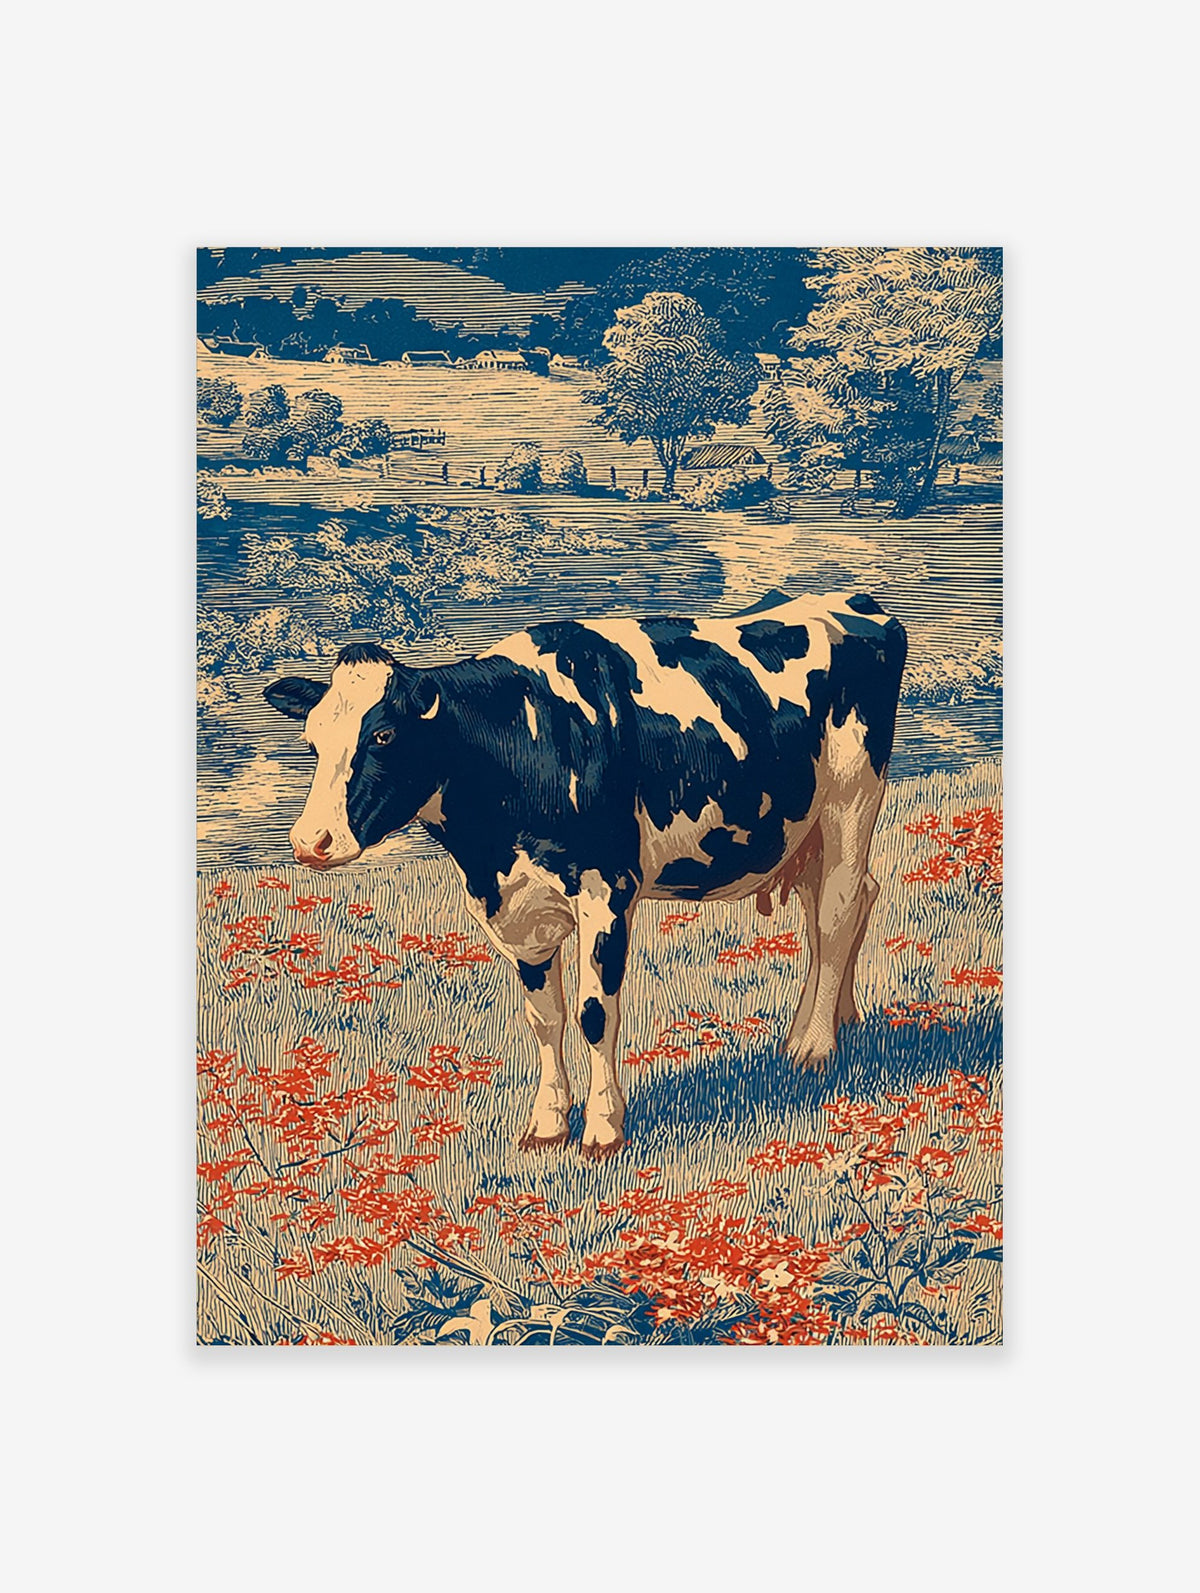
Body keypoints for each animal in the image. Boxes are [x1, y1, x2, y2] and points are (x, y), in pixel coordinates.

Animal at [264, 589, 907, 1159]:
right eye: (312, 740)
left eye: (383, 734)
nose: (310, 843)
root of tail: (854, 602)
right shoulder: (516, 907)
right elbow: (543, 1018)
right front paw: (548, 1123)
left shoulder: (607, 890)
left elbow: (595, 1013)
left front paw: (602, 1129)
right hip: (803, 827)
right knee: (848, 901)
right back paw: (829, 1024)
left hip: (851, 797)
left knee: (837, 911)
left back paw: (815, 1047)